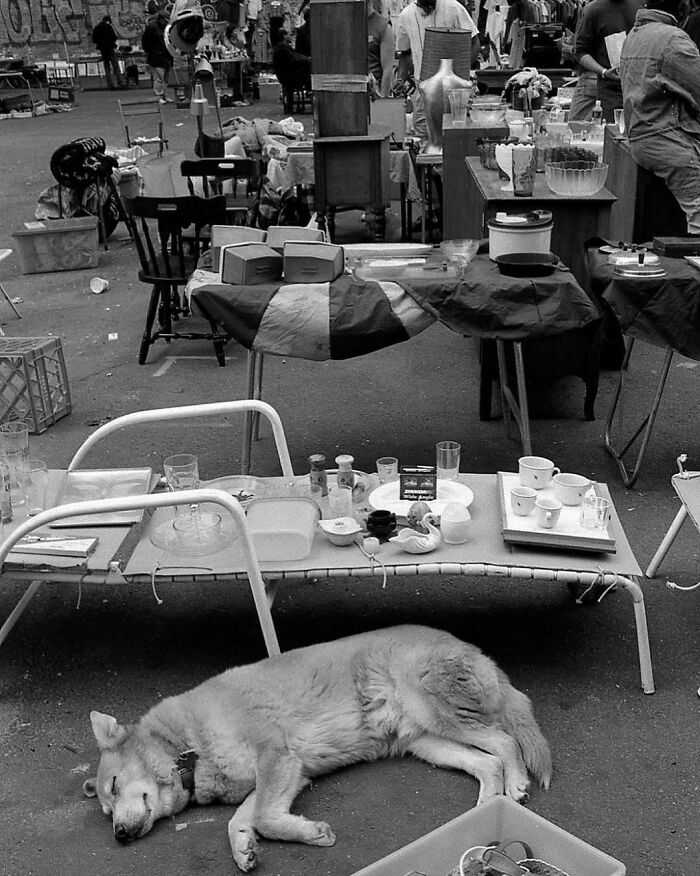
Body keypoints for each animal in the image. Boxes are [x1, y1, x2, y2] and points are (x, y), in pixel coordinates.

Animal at [83, 624, 552, 868]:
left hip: (438, 715)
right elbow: (241, 821)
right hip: (429, 743)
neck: (188, 747)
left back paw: (515, 787)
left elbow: (265, 818)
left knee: (505, 742)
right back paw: (485, 809)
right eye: (107, 811)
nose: (119, 835)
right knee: (487, 764)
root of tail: (469, 646)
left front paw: (309, 835)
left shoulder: (277, 759)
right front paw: (245, 849)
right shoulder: (284, 776)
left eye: (113, 788)